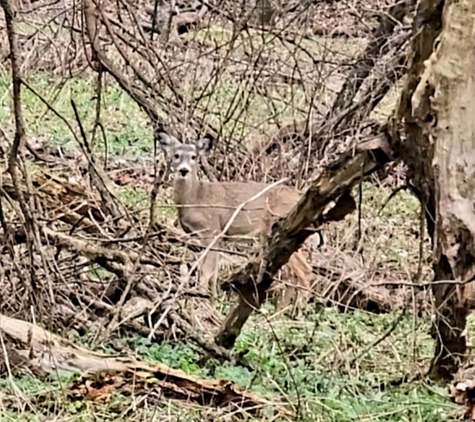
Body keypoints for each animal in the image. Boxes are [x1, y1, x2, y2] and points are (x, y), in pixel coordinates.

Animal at [158, 129, 314, 304]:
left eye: (193, 157)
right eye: (176, 155)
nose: (183, 170)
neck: (194, 198)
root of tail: (300, 195)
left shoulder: (212, 231)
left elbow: (206, 271)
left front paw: (201, 298)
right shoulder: (209, 236)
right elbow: (213, 272)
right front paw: (213, 299)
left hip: (285, 229)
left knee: (304, 271)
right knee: (292, 274)